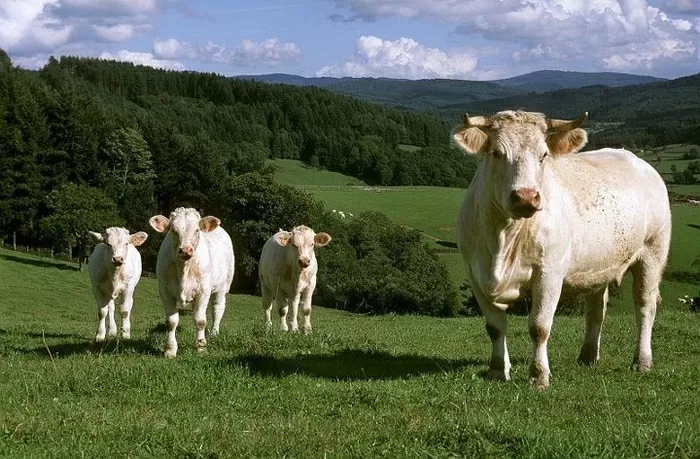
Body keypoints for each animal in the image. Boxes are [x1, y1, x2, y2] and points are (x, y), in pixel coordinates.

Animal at [148, 207, 235, 358]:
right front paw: (170, 350)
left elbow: (200, 320)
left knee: (217, 309)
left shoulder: (203, 290)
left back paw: (214, 333)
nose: (185, 250)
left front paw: (201, 347)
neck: (184, 268)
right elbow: (171, 322)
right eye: (173, 230)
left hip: (222, 287)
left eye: (197, 230)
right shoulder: (164, 290)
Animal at [452, 110, 672, 390]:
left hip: (653, 252)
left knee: (645, 305)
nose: (526, 196)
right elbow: (494, 327)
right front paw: (497, 370)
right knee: (596, 309)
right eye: (497, 153)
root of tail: (637, 160)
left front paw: (538, 376)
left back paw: (641, 361)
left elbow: (539, 327)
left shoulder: (549, 273)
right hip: (598, 265)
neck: (502, 239)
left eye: (544, 155)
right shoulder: (475, 273)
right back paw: (588, 356)